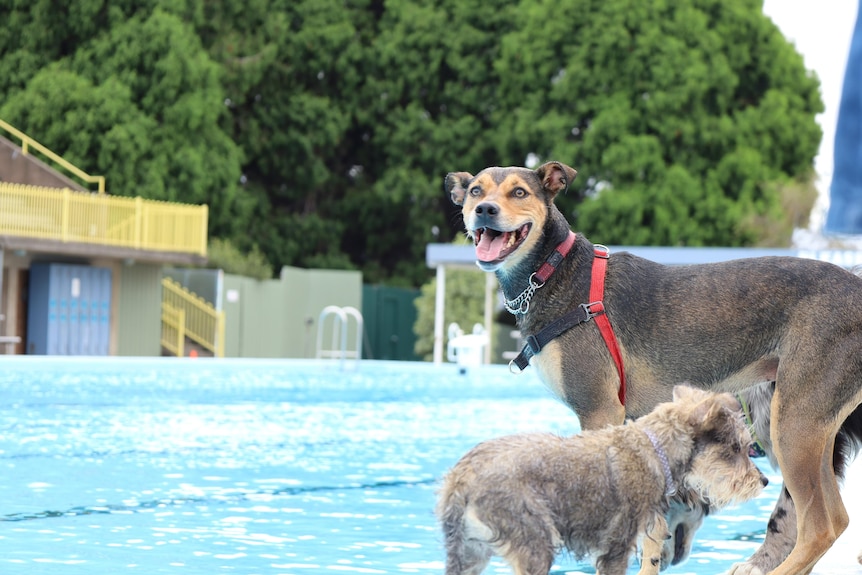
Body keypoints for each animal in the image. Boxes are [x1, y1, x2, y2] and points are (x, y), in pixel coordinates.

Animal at [438, 388, 768, 575]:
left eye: (745, 446)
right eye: (736, 448)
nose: (763, 480)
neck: (655, 451)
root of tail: (459, 479)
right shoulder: (616, 547)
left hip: (469, 554)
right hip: (534, 545)